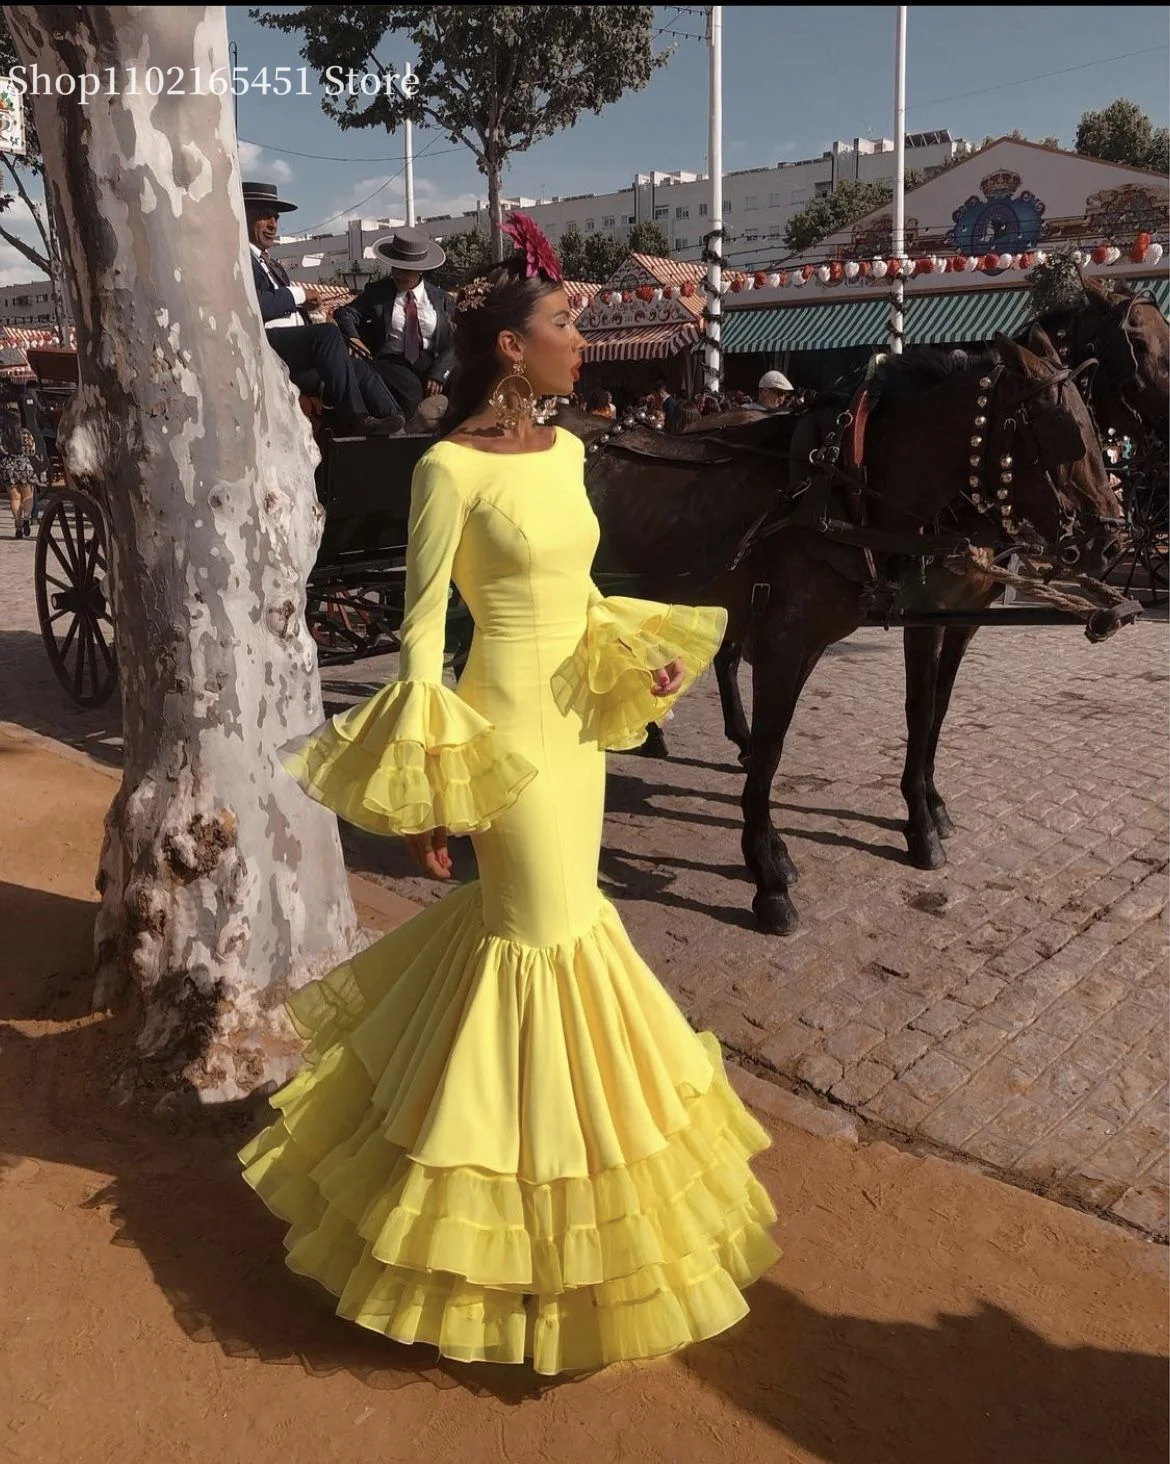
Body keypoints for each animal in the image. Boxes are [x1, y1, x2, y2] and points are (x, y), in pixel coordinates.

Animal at [571, 330, 1130, 925]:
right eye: (1064, 432)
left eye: (1094, 425)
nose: (1111, 542)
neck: (843, 493)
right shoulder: (797, 639)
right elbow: (791, 744)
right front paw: (771, 874)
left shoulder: (900, 629)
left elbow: (927, 713)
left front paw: (924, 813)